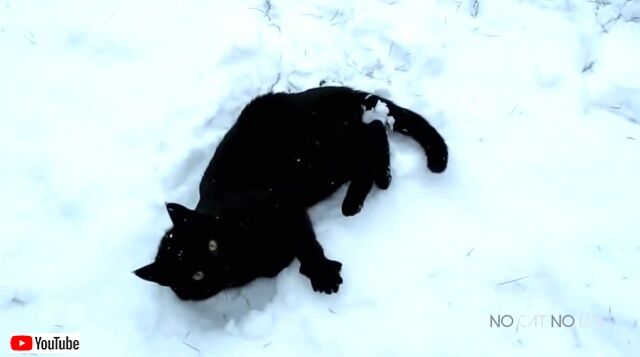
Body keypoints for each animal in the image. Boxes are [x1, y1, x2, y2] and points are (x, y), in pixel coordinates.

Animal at [133, 86, 448, 300]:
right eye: (196, 275)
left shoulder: (282, 203)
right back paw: (363, 193)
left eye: (211, 245)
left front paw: (322, 273)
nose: (220, 261)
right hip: (331, 167)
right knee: (371, 136)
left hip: (327, 149)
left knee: (375, 129)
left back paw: (375, 184)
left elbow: (304, 242)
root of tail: (343, 91)